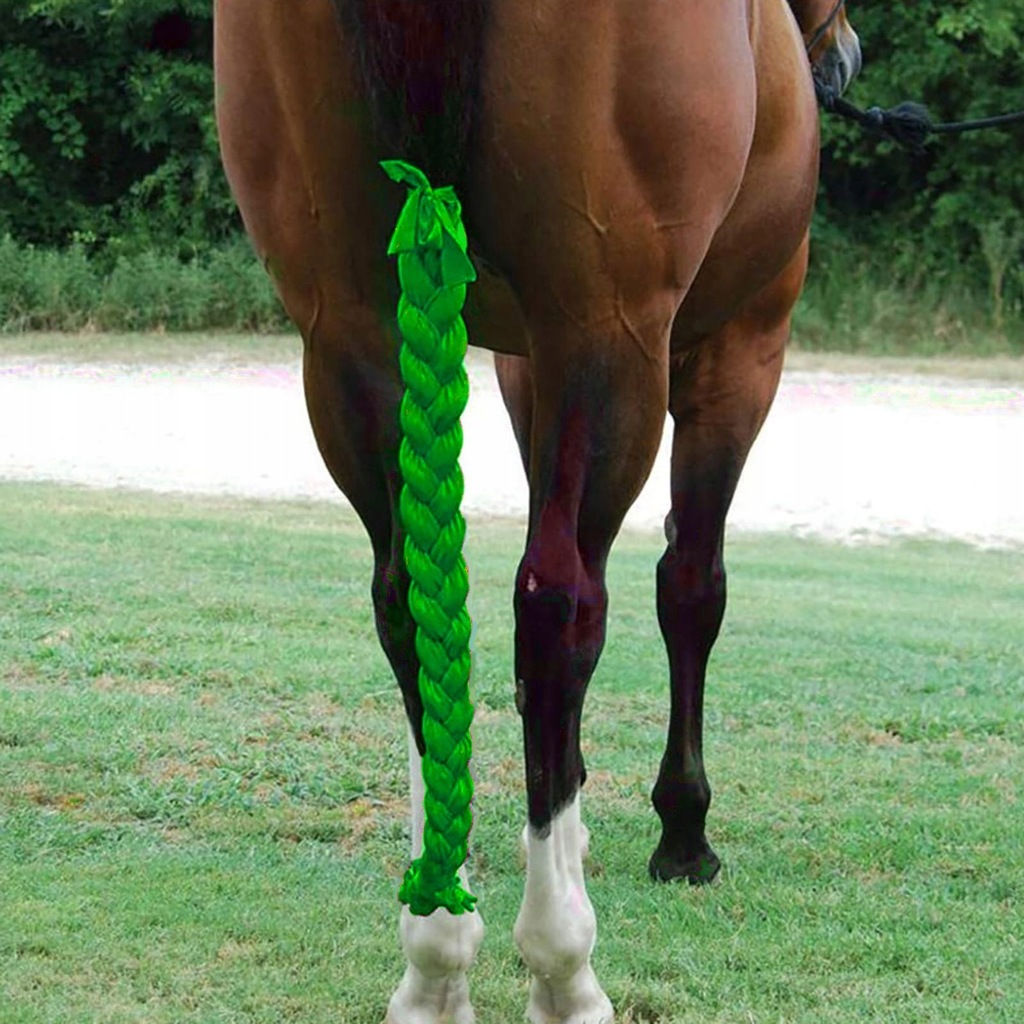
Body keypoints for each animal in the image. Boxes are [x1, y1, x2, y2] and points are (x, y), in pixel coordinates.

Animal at [213, 1, 861, 1021]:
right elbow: (691, 587)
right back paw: (563, 962)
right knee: (561, 606)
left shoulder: (517, 363)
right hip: (608, 327)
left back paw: (437, 954)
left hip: (348, 329)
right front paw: (683, 831)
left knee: (412, 605)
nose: (839, 58)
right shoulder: (741, 347)